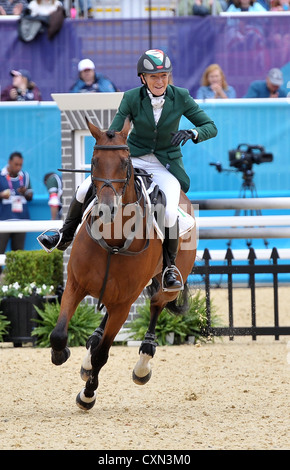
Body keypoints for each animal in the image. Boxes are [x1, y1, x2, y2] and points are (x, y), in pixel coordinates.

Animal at [49, 118, 196, 412]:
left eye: (125, 162)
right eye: (94, 161)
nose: (107, 209)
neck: (113, 238)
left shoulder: (125, 303)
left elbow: (103, 355)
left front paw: (87, 395)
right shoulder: (75, 285)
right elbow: (59, 333)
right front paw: (62, 353)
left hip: (165, 285)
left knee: (156, 306)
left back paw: (143, 363)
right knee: (102, 326)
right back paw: (89, 350)